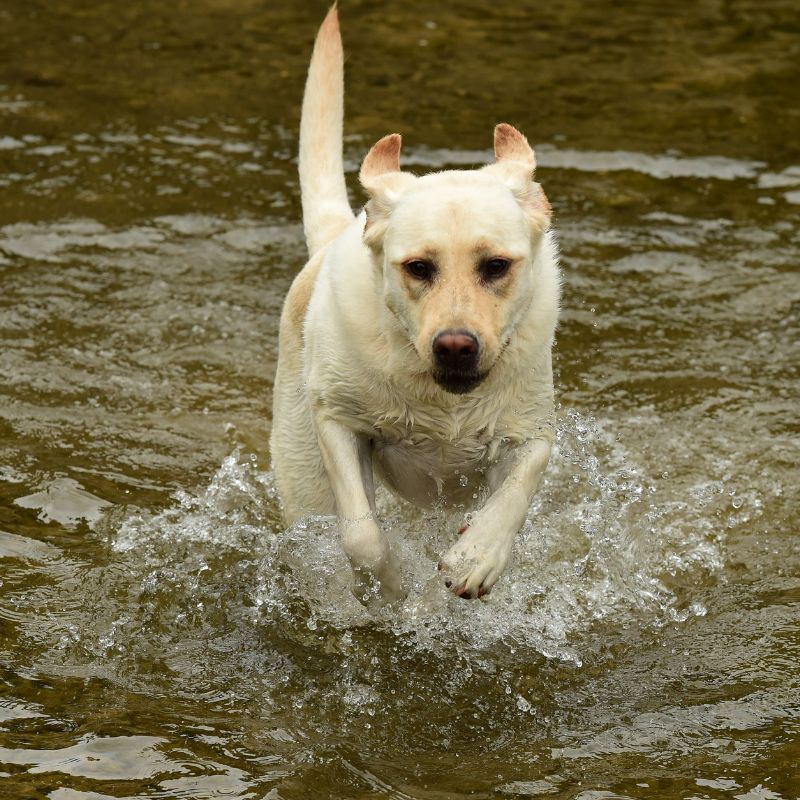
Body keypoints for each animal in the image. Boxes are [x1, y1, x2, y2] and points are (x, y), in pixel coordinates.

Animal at [272, 7, 560, 608]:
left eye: (496, 265)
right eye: (418, 267)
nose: (455, 346)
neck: (441, 402)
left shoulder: (531, 426)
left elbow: (520, 485)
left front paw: (479, 556)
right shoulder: (338, 422)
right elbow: (361, 535)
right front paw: (391, 588)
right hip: (301, 474)